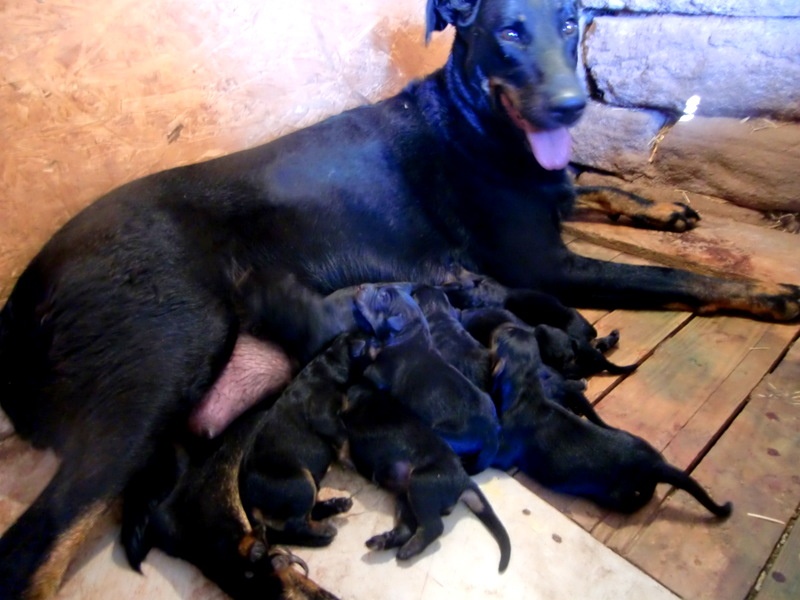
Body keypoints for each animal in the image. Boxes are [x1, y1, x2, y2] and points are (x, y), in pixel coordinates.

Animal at [340, 384, 510, 572]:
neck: (367, 397)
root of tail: (464, 480)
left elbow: (344, 437)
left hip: (420, 484)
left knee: (434, 527)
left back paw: (408, 549)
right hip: (404, 497)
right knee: (408, 527)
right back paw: (382, 541)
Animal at [490, 326, 736, 516]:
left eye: (505, 334)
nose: (503, 326)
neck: (527, 391)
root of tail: (654, 464)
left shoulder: (506, 445)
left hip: (618, 494)